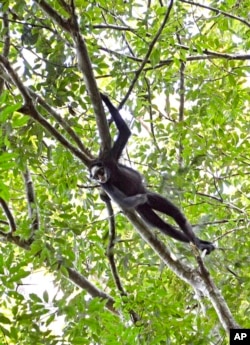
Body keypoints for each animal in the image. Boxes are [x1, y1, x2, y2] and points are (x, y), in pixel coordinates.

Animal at [90, 92, 215, 254]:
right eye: (96, 176)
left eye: (100, 171)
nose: (101, 177)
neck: (111, 173)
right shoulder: (105, 185)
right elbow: (123, 201)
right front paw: (139, 198)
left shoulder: (109, 158)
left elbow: (125, 132)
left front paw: (104, 98)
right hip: (143, 210)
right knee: (164, 226)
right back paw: (199, 245)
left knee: (175, 214)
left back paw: (199, 243)